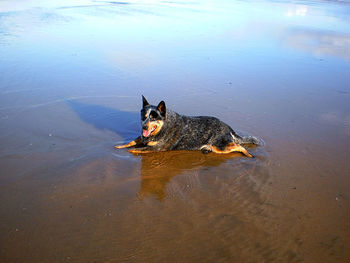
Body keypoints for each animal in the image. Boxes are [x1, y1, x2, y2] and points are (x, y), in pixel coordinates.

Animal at [114, 97, 258, 158]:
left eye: (153, 118)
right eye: (144, 116)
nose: (144, 126)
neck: (163, 126)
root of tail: (228, 126)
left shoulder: (156, 148)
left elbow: (133, 149)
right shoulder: (143, 137)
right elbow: (131, 142)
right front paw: (119, 146)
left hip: (220, 146)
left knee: (238, 145)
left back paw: (248, 154)